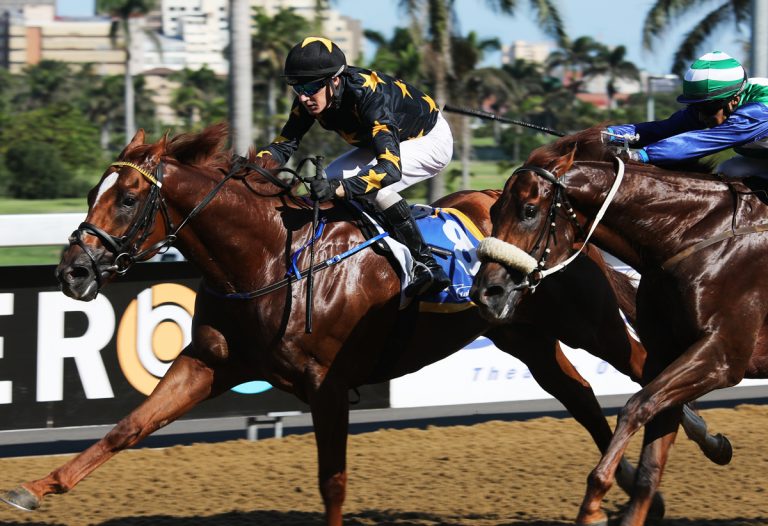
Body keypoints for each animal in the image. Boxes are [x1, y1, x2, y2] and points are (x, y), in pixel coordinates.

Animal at [0, 124, 724, 525]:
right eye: (92, 191)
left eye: (126, 198)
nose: (71, 269)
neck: (272, 259)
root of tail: (572, 216)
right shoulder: (210, 361)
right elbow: (128, 427)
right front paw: (36, 489)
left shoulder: (327, 388)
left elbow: (333, 482)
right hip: (524, 336)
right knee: (580, 394)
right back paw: (639, 489)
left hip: (587, 321)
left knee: (645, 373)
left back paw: (702, 445)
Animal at [470, 125, 768, 526]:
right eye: (494, 209)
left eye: (529, 210)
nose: (486, 292)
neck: (693, 234)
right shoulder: (670, 354)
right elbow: (650, 461)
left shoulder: (722, 356)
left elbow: (635, 406)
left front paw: (593, 505)